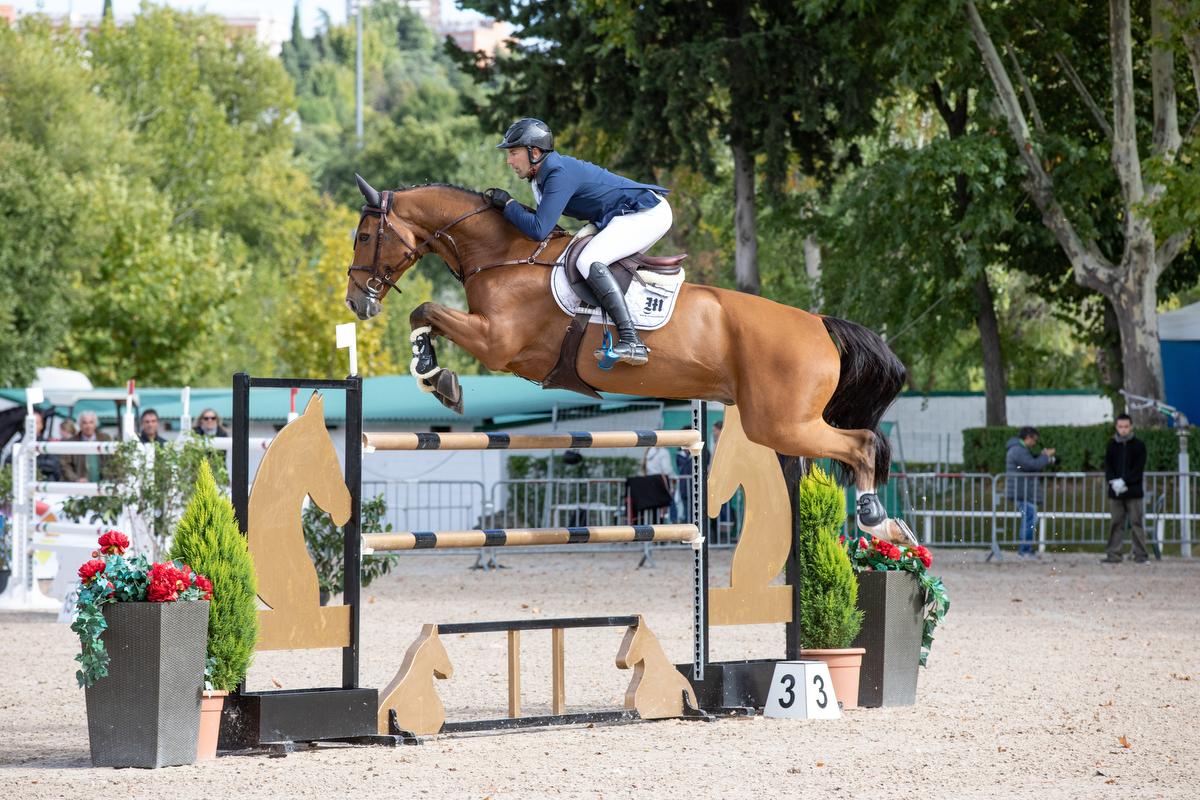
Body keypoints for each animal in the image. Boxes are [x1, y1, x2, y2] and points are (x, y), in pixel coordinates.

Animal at [345, 179, 907, 544]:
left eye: (366, 237)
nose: (356, 303)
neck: (505, 255)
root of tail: (817, 324)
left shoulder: (497, 342)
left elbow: (426, 309)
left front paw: (438, 378)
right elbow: (425, 314)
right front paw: (432, 369)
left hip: (780, 423)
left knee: (862, 445)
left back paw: (877, 522)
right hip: (781, 423)